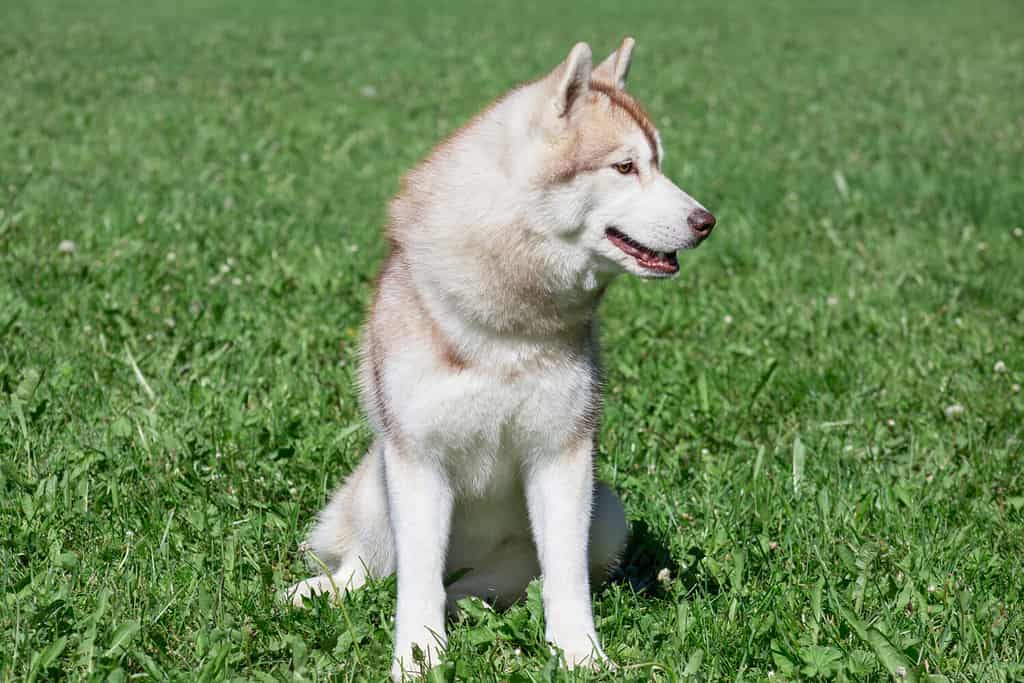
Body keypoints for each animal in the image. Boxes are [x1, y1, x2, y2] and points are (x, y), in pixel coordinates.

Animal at [288, 40, 716, 679]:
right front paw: (418, 658)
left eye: (658, 163)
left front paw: (580, 655)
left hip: (607, 513)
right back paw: (321, 590)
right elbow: (415, 582)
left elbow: (565, 577)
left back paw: (468, 600)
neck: (510, 324)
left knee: (486, 584)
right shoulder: (418, 460)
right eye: (624, 167)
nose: (706, 222)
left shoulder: (563, 457)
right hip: (375, 480)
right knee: (372, 565)